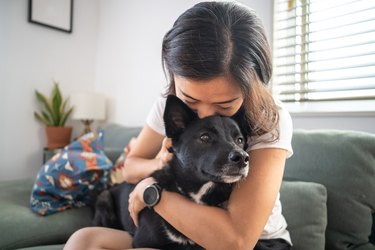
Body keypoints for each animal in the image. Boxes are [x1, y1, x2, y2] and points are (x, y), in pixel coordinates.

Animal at [92, 94, 250, 249]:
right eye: (205, 137)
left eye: (240, 140)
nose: (243, 158)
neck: (197, 193)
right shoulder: (143, 242)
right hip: (104, 198)